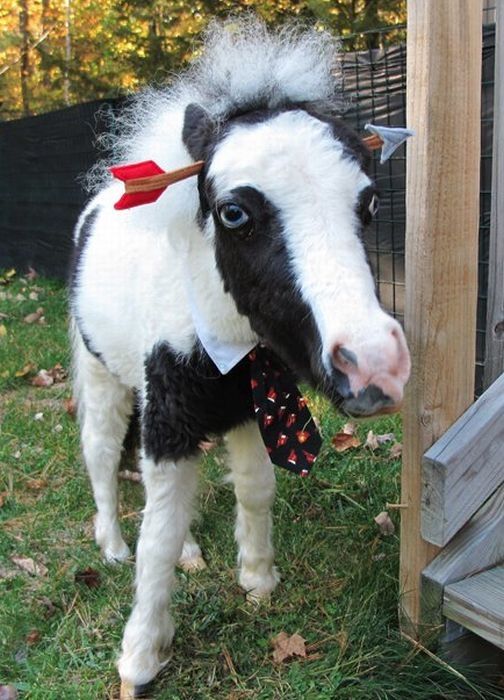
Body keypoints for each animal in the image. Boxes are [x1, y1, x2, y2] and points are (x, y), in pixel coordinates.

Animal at [70, 19, 410, 696]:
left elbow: (254, 487)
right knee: (100, 453)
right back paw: (112, 545)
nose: (374, 368)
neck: (226, 339)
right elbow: (157, 534)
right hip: (102, 376)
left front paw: (257, 579)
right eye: (233, 213)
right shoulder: (169, 417)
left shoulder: (251, 402)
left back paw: (192, 554)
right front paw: (140, 658)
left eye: (368, 205)